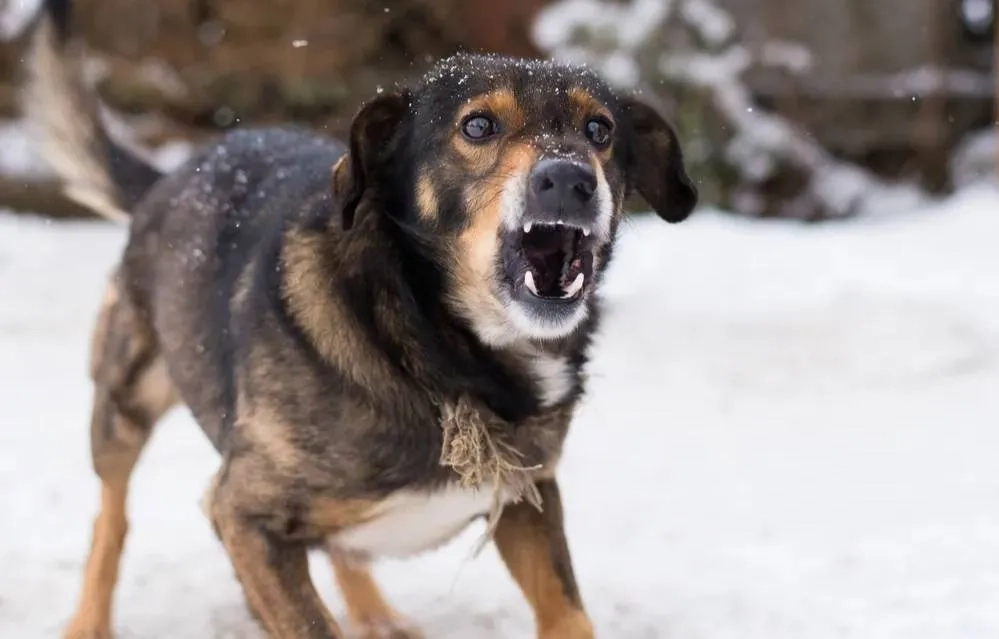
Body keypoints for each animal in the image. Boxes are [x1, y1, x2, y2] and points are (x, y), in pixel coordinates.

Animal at [23, 0, 696, 636]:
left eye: (599, 129)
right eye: (478, 125)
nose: (571, 178)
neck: (432, 349)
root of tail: (172, 177)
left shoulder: (527, 496)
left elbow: (569, 616)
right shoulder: (243, 513)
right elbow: (309, 621)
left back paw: (377, 616)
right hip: (125, 400)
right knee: (111, 516)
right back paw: (89, 621)